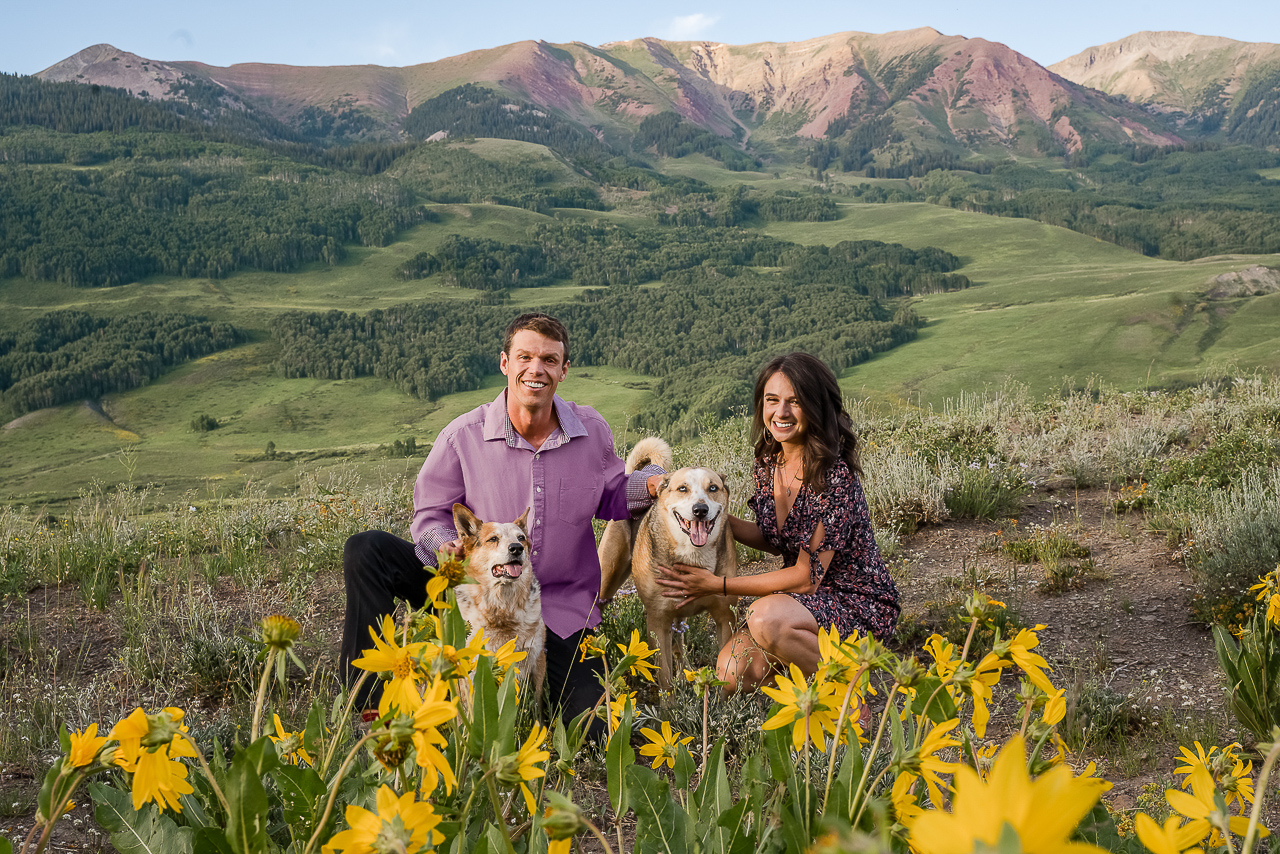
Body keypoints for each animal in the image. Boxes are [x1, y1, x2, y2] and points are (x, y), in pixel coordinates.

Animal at [455, 504, 545, 696]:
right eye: (493, 539)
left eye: (521, 538)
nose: (516, 548)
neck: (503, 608)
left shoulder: (537, 655)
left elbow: (538, 701)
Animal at [593, 437, 737, 691]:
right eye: (682, 488)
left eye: (713, 488)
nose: (700, 510)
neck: (693, 556)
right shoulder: (657, 620)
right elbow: (665, 680)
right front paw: (670, 700)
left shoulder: (724, 616)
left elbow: (725, 671)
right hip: (607, 579)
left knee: (679, 639)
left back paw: (688, 671)